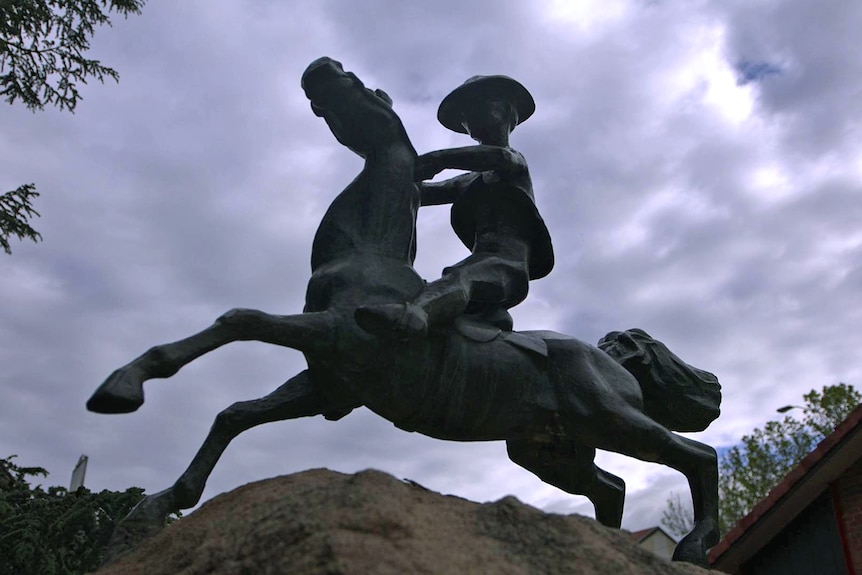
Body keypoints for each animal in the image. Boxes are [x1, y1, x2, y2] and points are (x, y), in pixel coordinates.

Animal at [88, 58, 724, 568]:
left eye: (366, 88)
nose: (320, 67)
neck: (364, 254)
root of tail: (611, 358)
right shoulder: (330, 382)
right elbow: (234, 413)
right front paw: (157, 507)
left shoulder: (336, 338)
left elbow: (238, 320)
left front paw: (122, 385)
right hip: (547, 448)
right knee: (611, 488)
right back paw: (606, 547)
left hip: (609, 417)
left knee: (696, 455)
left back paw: (694, 546)